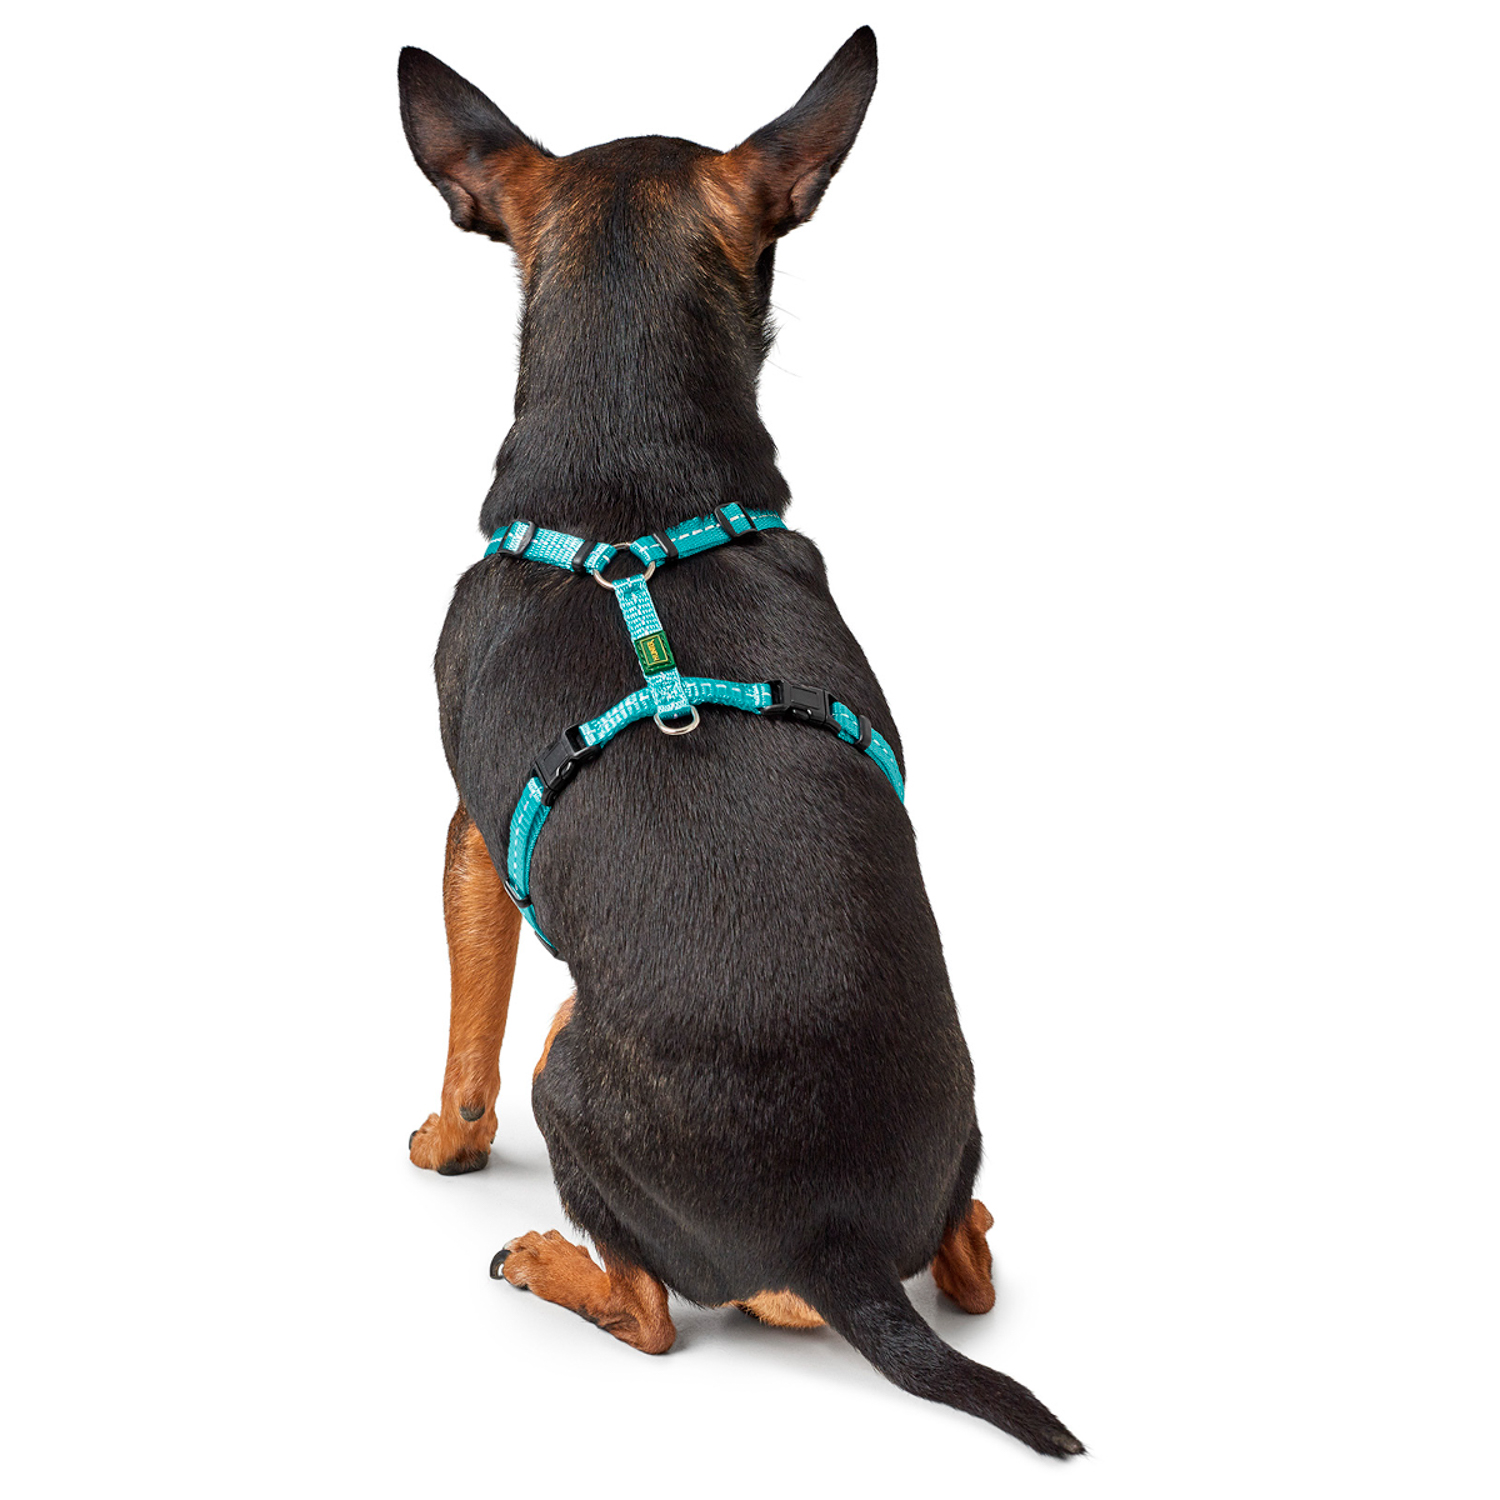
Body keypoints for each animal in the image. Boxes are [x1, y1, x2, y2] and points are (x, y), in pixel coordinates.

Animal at [397, 29, 1082, 1457]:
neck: (636, 496)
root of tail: (830, 1248)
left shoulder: (468, 836)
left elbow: (465, 1037)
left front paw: (446, 1143)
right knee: (970, 1274)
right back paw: (973, 1223)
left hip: (563, 1056)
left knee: (652, 1314)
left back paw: (548, 1260)